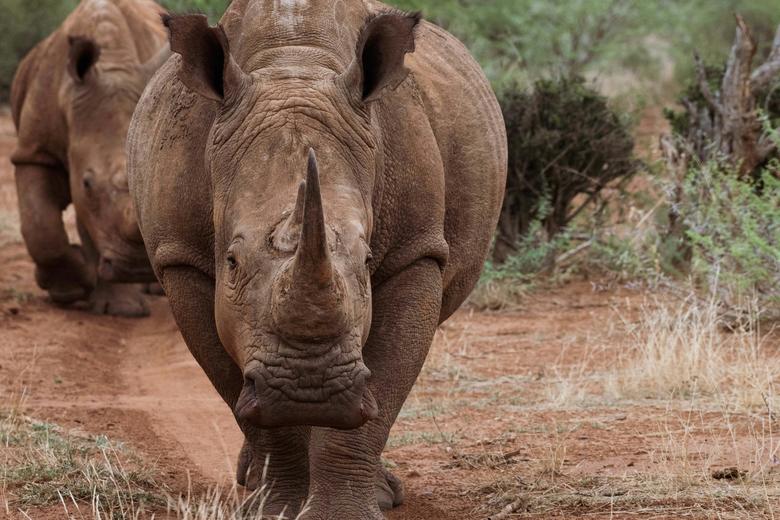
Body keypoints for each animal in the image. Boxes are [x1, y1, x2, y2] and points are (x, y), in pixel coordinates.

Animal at [10, 0, 169, 316]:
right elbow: (40, 225)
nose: (135, 268)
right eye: (86, 183)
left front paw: (121, 310)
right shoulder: (34, 151)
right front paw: (71, 288)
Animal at [128, 0, 507, 517]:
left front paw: (348, 508)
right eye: (231, 262)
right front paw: (277, 508)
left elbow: (383, 387)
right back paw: (252, 479)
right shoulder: (182, 258)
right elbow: (239, 389)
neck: (293, 67)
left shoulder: (416, 251)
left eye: (367, 260)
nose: (309, 391)